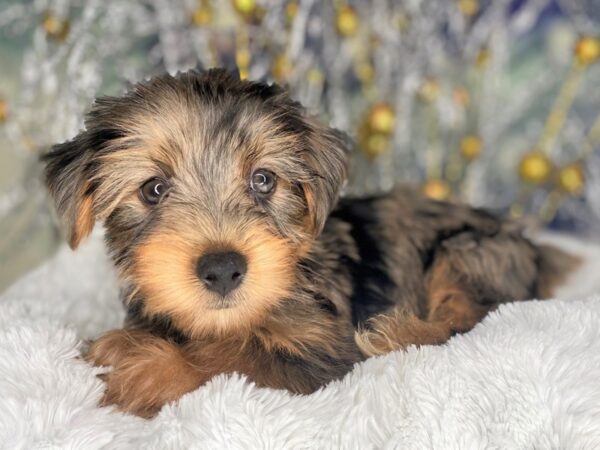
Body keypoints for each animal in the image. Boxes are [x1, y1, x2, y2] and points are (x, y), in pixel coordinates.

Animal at [41, 69, 576, 418]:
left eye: (262, 180)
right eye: (153, 189)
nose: (222, 268)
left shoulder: (319, 347)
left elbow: (233, 359)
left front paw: (146, 371)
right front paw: (128, 343)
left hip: (470, 251)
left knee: (464, 316)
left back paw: (397, 333)